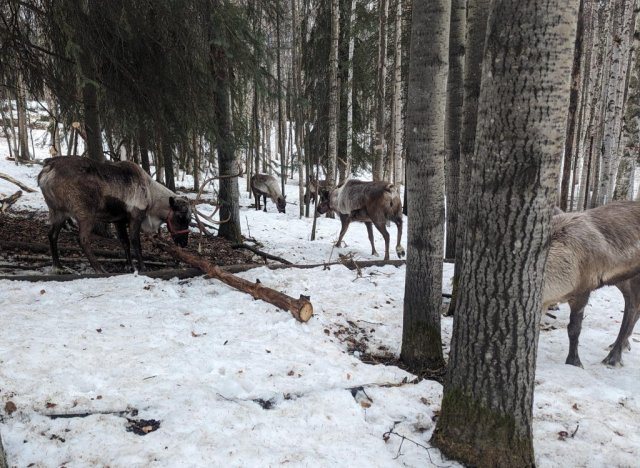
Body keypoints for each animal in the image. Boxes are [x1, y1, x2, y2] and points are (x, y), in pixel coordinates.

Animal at [38, 156, 192, 273]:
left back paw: (58, 266)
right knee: (82, 239)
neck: (152, 198)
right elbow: (136, 243)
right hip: (85, 213)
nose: (184, 243)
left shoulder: (119, 220)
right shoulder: (136, 217)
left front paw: (130, 266)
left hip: (58, 211)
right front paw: (142, 267)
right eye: (181, 217)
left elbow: (125, 242)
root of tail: (47, 170)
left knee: (52, 235)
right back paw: (99, 268)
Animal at [543, 201, 640, 367]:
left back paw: (613, 357)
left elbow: (574, 329)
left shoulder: (583, 291)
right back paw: (621, 345)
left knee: (633, 306)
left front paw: (574, 362)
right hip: (622, 280)